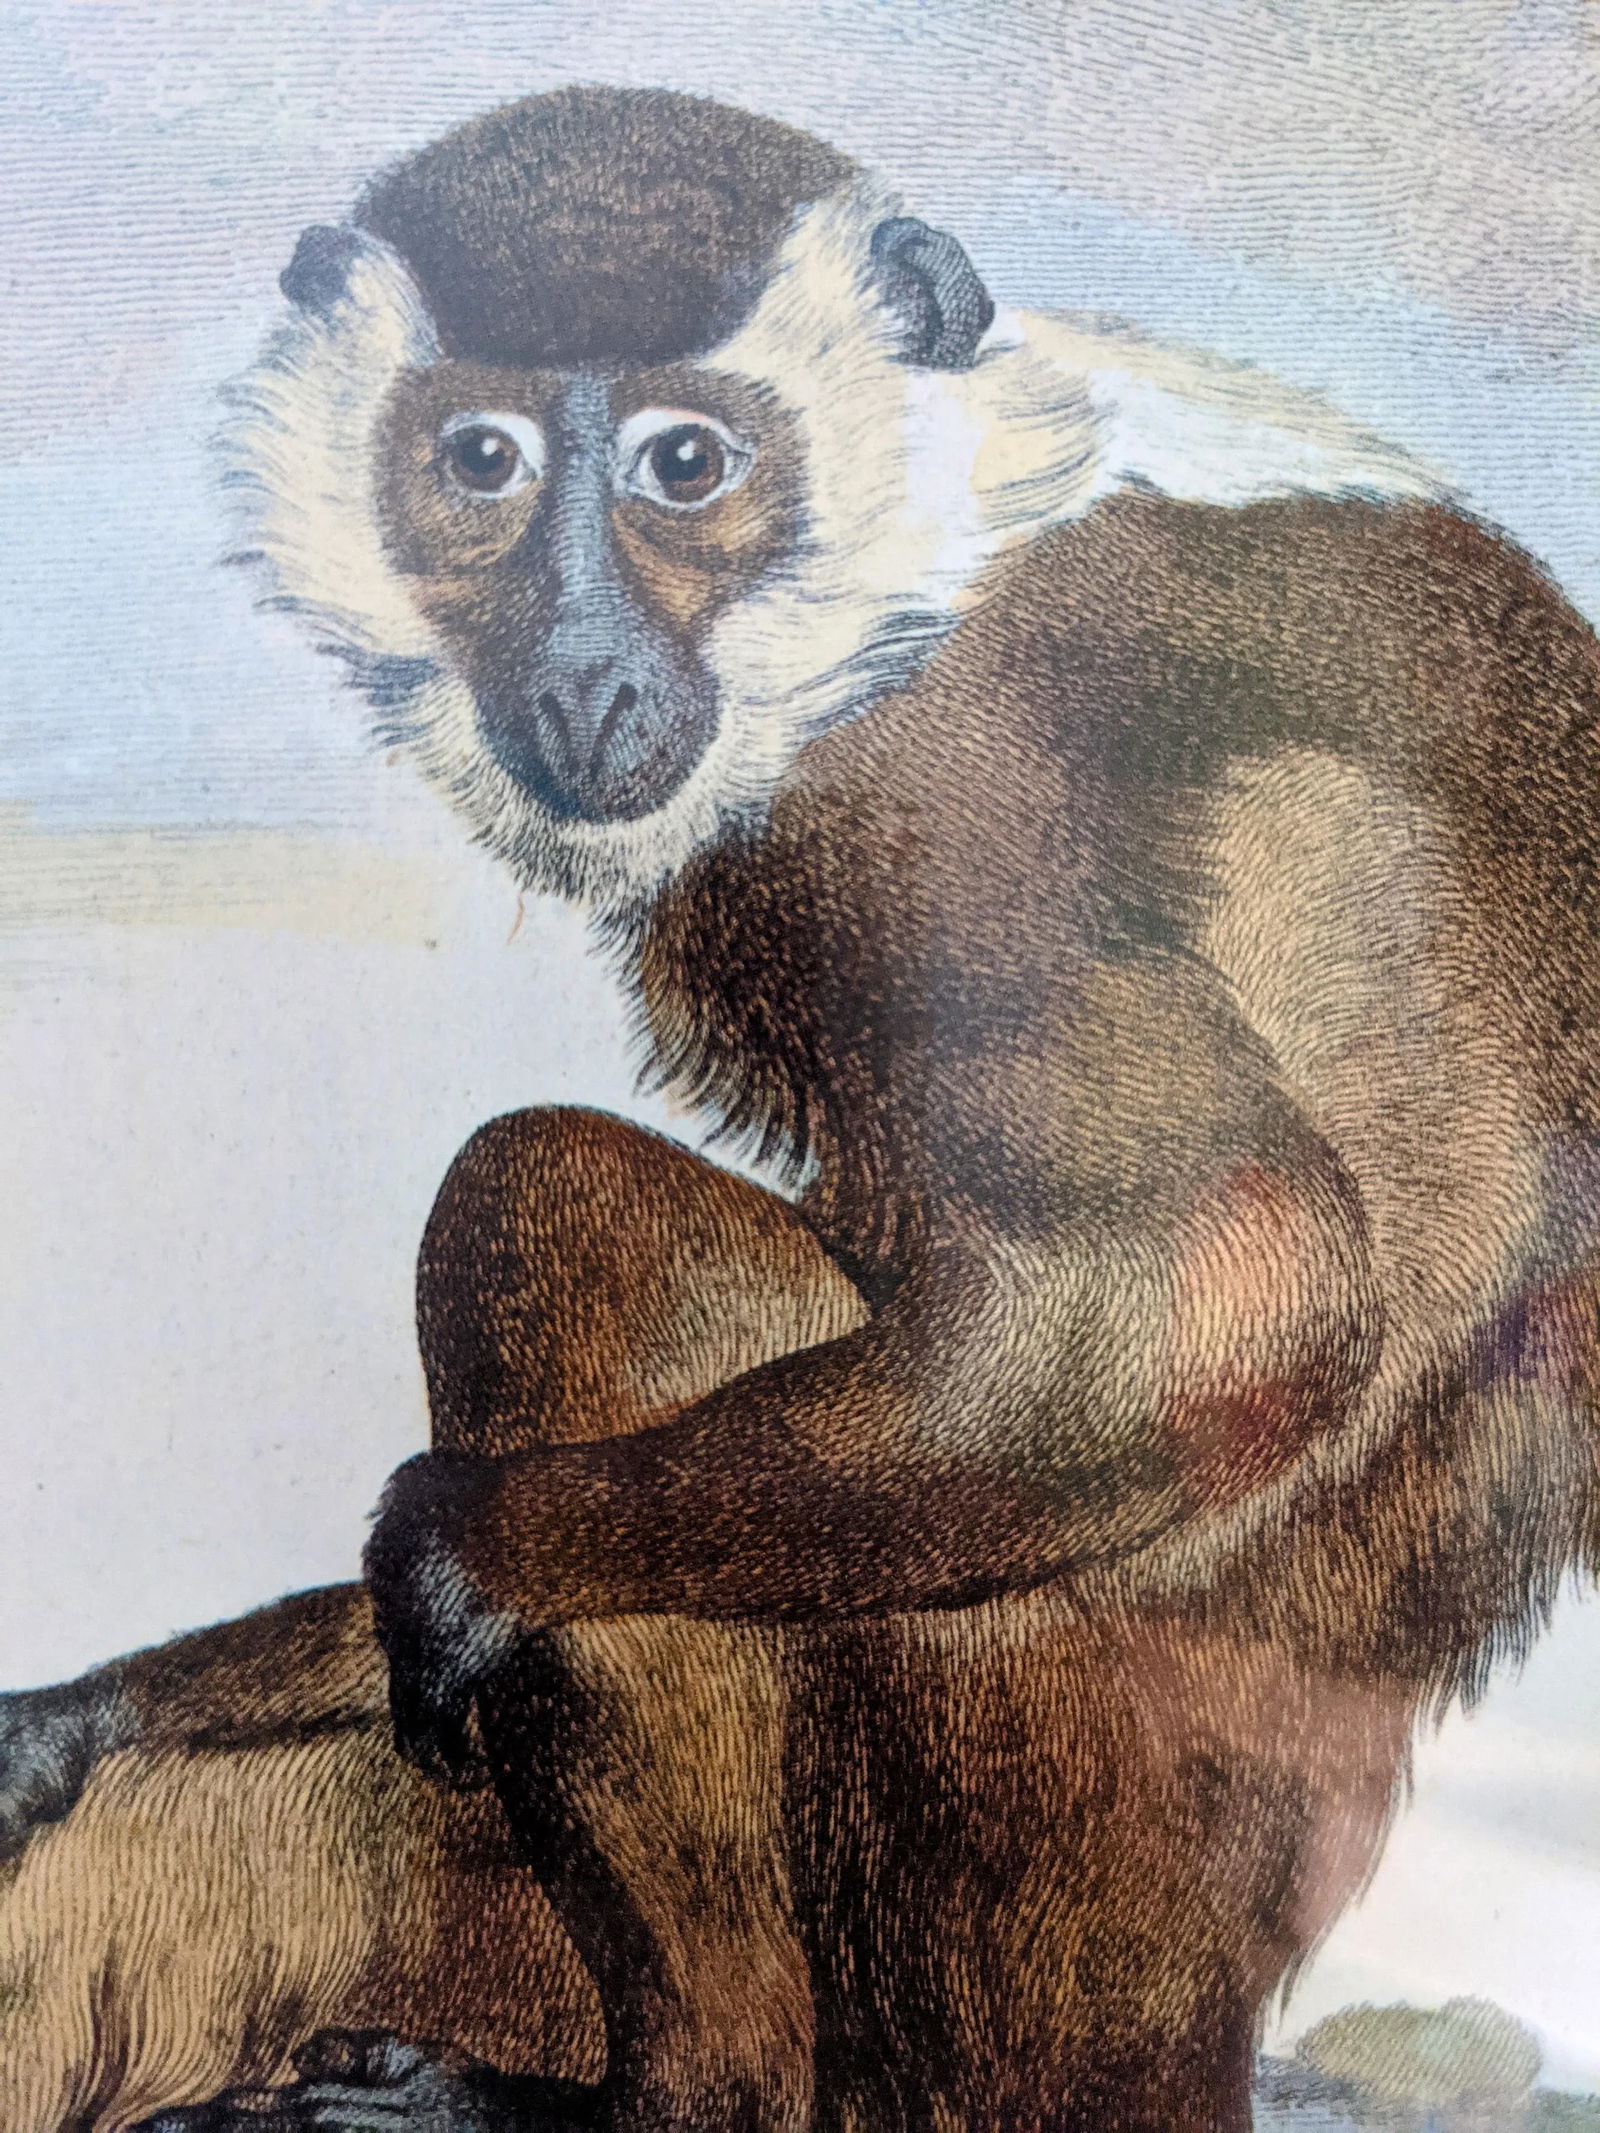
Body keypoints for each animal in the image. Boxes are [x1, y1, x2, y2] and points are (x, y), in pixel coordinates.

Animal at [4, 80, 1600, 2133]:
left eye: (688, 465)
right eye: (479, 460)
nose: (581, 673)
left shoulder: (936, 795)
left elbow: (1224, 1285)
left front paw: (463, 1554)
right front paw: (102, 1708)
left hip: (1014, 1784)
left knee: (544, 1204)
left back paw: (680, 2089)